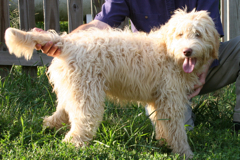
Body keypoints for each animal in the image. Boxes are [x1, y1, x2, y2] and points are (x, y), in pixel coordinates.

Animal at [4, 9, 220, 158]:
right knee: (81, 124)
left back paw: (49, 125)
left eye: (198, 34)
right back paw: (73, 146)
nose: (187, 51)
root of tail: (68, 42)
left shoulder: (158, 99)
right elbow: (176, 129)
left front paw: (162, 142)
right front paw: (185, 153)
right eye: (180, 35)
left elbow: (162, 125)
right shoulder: (171, 99)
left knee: (62, 111)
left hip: (73, 89)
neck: (168, 51)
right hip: (87, 94)